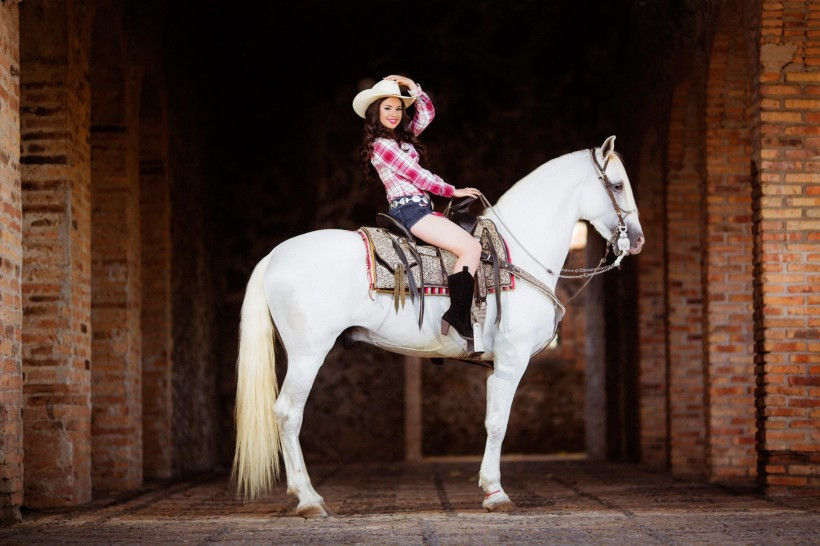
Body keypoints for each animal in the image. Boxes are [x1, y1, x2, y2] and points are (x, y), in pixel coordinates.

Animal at [231, 135, 640, 516]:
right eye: (617, 185)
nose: (637, 239)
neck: (514, 256)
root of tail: (275, 255)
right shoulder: (513, 359)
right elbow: (499, 423)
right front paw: (497, 493)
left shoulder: (495, 366)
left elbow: (490, 421)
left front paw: (489, 489)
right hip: (307, 354)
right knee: (288, 413)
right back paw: (309, 499)